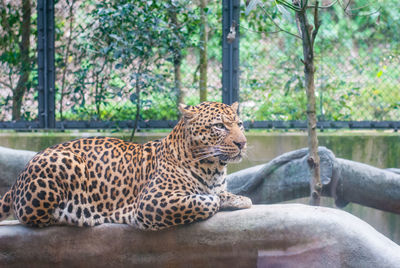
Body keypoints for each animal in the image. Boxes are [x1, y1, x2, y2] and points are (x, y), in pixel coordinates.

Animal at [0, 101, 250, 229]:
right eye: (219, 126)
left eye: (239, 124)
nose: (242, 143)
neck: (213, 168)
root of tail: (17, 181)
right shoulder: (152, 201)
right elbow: (206, 201)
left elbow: (223, 195)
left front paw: (239, 199)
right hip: (65, 162)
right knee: (31, 217)